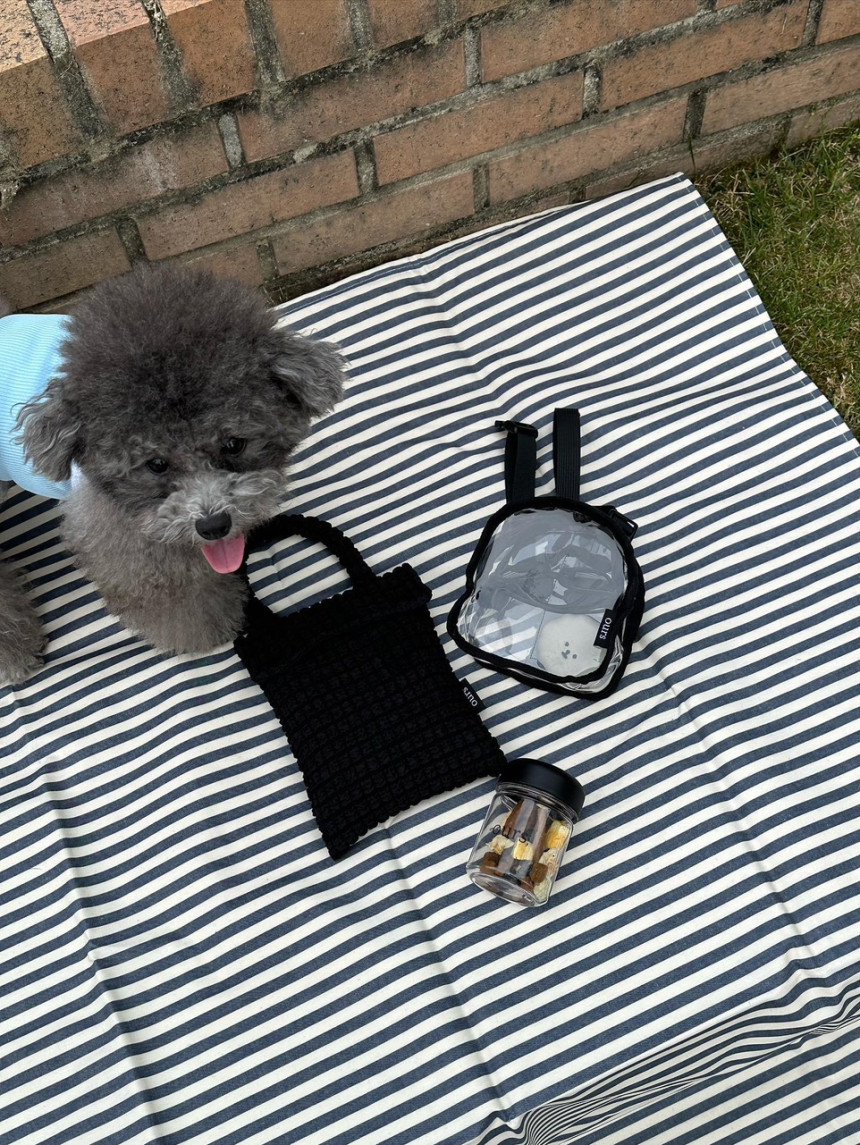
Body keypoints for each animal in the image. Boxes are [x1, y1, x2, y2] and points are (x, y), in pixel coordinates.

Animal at [0, 262, 345, 685]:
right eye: (156, 464)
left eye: (234, 444)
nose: (213, 526)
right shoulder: (117, 532)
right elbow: (170, 591)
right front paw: (210, 628)